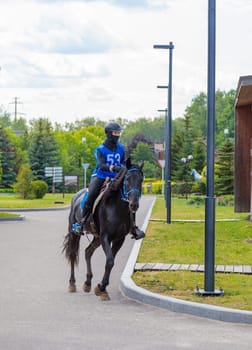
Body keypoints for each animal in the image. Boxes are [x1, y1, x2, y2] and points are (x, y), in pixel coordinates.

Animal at [62, 157, 144, 300]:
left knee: (88, 252)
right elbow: (110, 261)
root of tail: (76, 195)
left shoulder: (118, 239)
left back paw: (87, 283)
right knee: (72, 254)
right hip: (75, 233)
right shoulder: (106, 237)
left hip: (97, 237)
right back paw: (72, 284)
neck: (117, 208)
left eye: (141, 180)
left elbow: (110, 261)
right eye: (127, 179)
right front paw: (101, 288)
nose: (134, 205)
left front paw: (101, 288)